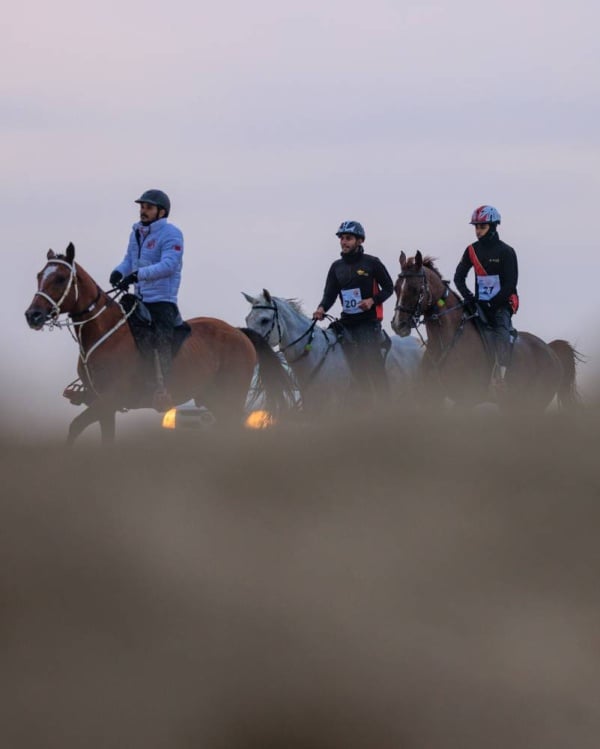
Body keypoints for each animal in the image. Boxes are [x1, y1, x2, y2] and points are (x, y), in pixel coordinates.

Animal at [25, 245, 296, 442]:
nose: (33, 315)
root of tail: (239, 333)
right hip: (212, 398)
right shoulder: (103, 404)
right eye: (39, 276)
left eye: (60, 278)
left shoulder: (110, 399)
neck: (104, 333)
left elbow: (75, 427)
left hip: (231, 397)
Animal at [392, 253, 580, 412]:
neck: (446, 340)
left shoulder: (465, 400)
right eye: (396, 288)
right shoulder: (431, 397)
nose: (398, 324)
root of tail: (551, 350)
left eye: (414, 288)